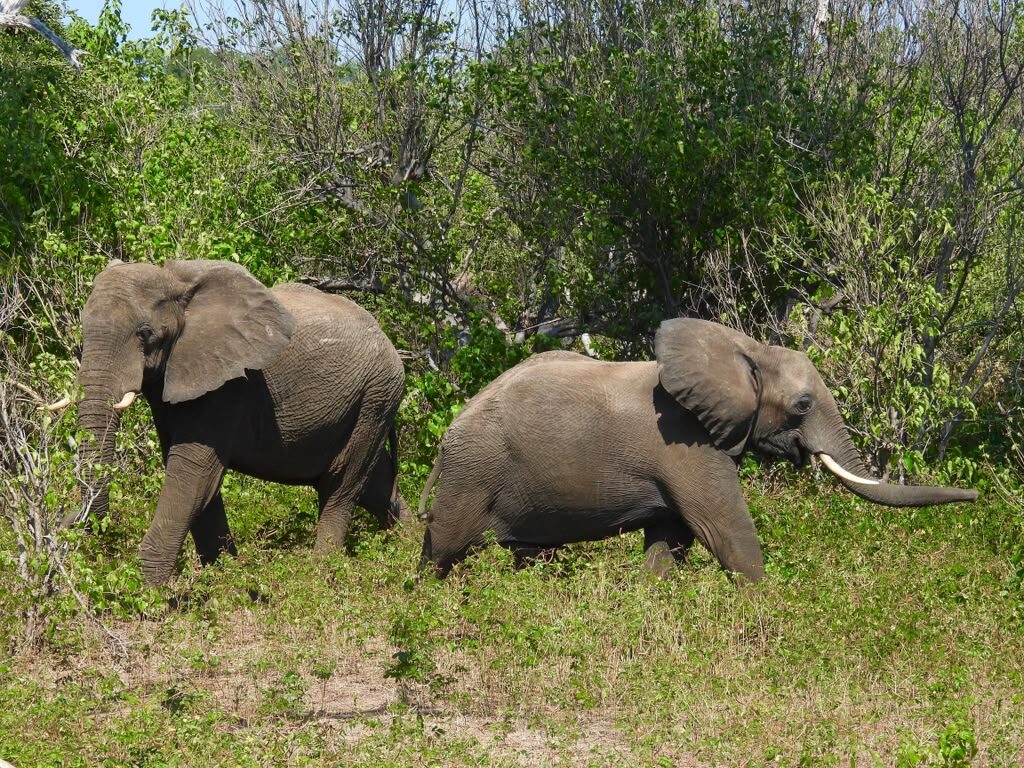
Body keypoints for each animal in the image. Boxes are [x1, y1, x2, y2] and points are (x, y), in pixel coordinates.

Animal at [57, 259, 408, 585]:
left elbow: (193, 474)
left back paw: (319, 578)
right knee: (374, 486)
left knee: (340, 486)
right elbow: (197, 483)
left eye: (145, 334)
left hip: (376, 397)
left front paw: (144, 592)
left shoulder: (228, 385)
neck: (177, 284)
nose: (69, 521)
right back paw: (410, 552)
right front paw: (226, 579)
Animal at [417, 318, 979, 584]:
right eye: (801, 406)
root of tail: (448, 434)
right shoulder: (686, 446)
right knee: (443, 550)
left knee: (525, 554)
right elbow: (725, 533)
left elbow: (670, 542)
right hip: (474, 471)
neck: (748, 350)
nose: (976, 498)